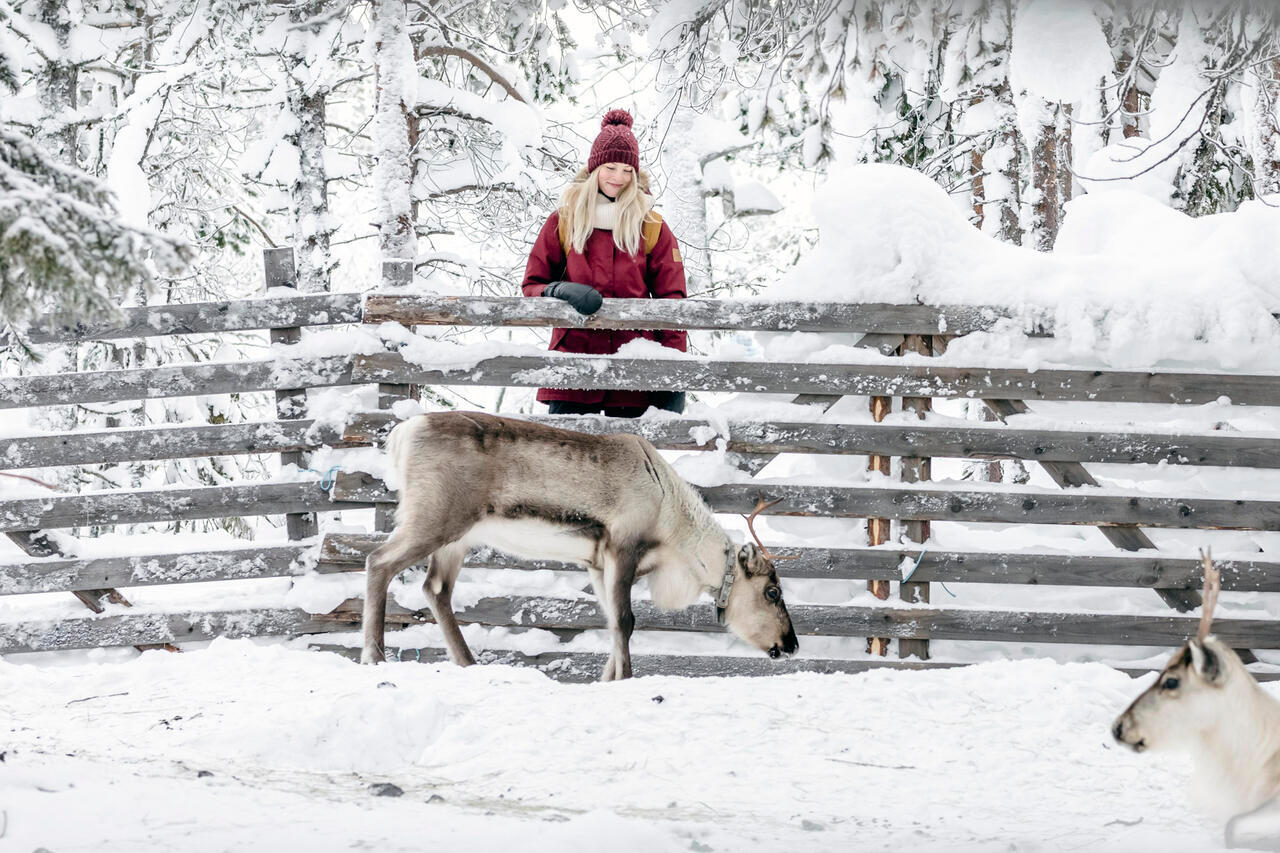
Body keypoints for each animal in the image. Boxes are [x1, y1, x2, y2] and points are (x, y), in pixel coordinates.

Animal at [361, 411, 799, 681]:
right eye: (772, 591)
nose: (792, 644)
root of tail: (403, 433)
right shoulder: (622, 548)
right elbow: (626, 621)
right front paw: (625, 680)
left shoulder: (596, 563)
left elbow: (612, 624)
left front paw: (607, 680)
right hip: (433, 519)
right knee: (378, 561)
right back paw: (374, 656)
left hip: (457, 537)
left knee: (435, 588)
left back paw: (468, 664)